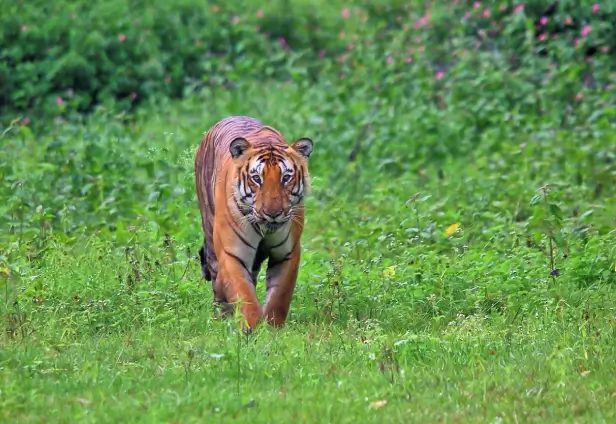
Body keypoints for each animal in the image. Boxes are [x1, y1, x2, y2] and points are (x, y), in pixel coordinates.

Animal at [195, 115, 316, 332]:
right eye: (257, 178)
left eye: (286, 178)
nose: (273, 213)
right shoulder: (232, 252)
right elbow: (244, 294)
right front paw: (253, 329)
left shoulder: (288, 253)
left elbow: (279, 296)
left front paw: (273, 329)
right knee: (218, 283)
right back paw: (222, 318)